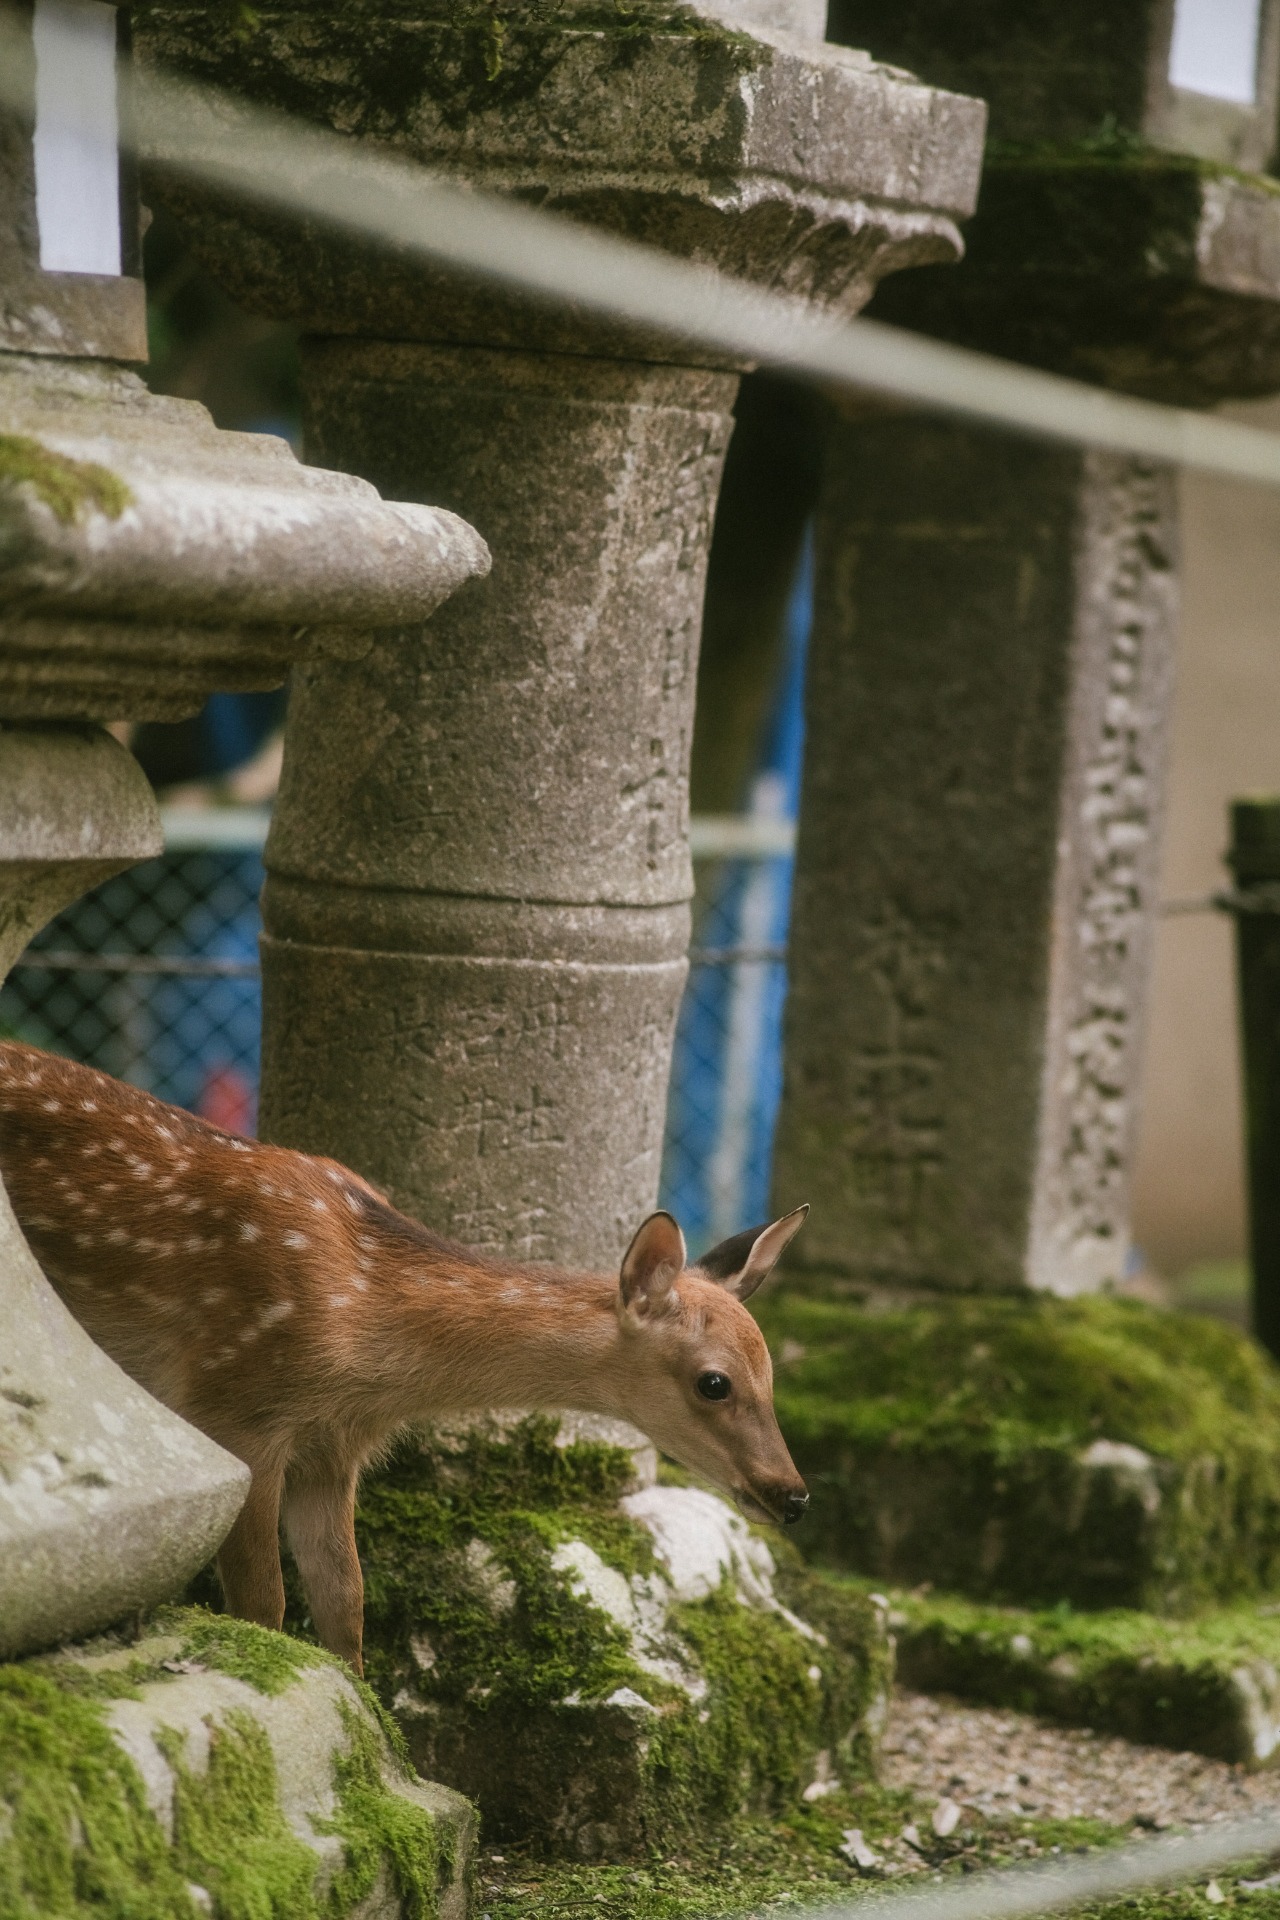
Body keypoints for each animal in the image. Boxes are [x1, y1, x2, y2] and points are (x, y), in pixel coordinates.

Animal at [0, 1040, 809, 1675]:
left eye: (773, 1375)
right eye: (714, 1383)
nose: (794, 1493)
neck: (364, 1337)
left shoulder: (333, 1449)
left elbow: (345, 1603)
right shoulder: (233, 1403)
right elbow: (265, 1602)